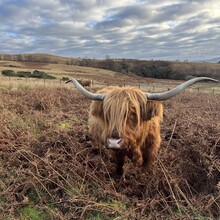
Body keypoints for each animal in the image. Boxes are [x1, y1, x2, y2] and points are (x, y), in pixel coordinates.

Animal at [66, 77, 218, 175]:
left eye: (133, 113)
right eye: (108, 114)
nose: (114, 141)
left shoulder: (152, 148)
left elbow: (147, 166)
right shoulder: (118, 151)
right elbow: (119, 164)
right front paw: (118, 177)